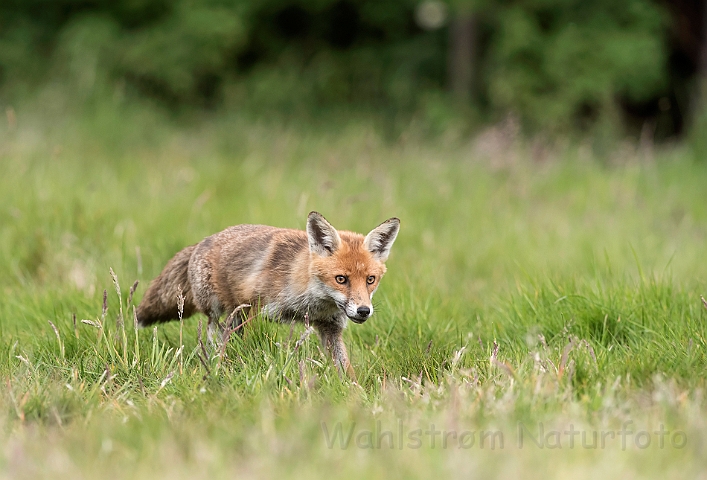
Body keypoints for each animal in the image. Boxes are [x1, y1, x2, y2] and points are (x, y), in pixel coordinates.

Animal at [136, 213, 402, 378]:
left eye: (370, 280)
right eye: (341, 279)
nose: (364, 311)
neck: (310, 302)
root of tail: (201, 241)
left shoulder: (330, 328)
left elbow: (345, 367)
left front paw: (354, 393)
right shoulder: (255, 310)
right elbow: (252, 348)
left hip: (234, 317)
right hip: (218, 309)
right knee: (212, 332)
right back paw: (215, 360)